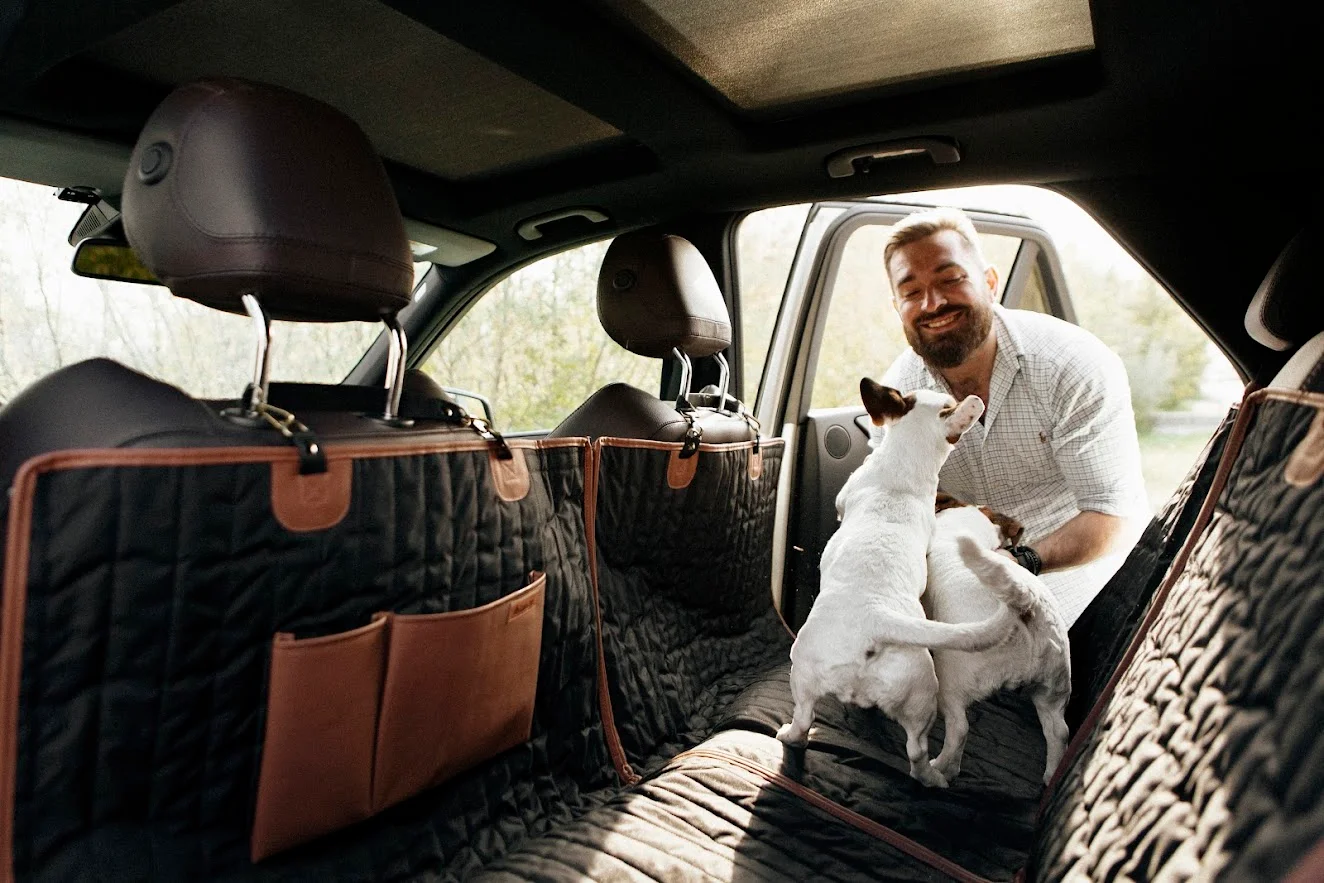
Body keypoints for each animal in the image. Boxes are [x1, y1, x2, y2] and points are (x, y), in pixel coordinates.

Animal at [926, 497, 1069, 789]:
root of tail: (1028, 606)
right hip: (1052, 691)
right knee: (1059, 732)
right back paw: (1051, 774)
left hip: (952, 681)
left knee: (959, 729)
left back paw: (940, 769)